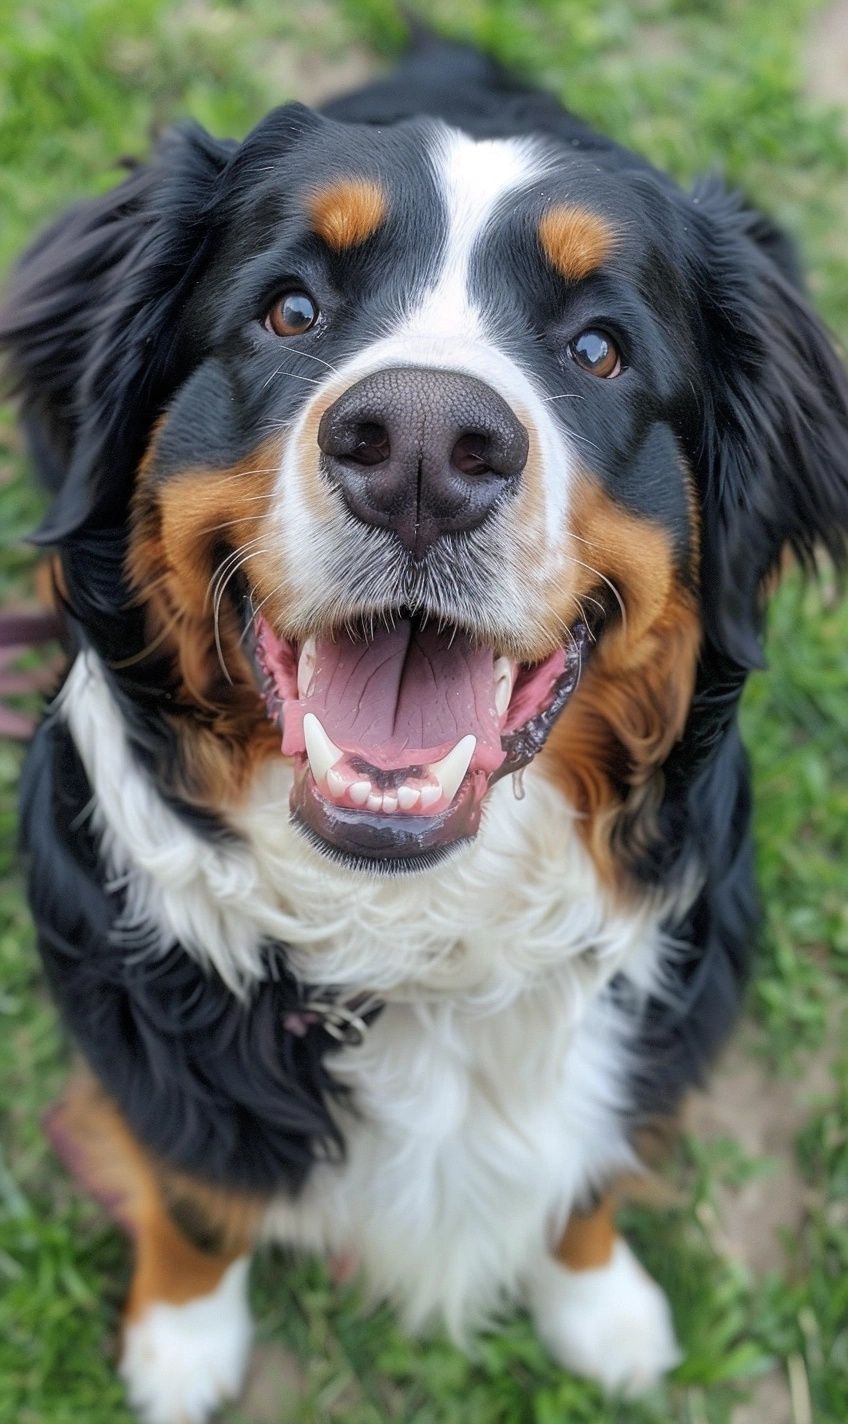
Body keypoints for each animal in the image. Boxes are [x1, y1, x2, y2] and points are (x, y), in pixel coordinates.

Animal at [1, 25, 848, 1424]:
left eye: (599, 349)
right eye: (288, 310)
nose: (418, 445)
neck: (417, 942)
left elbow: (583, 1183)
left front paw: (600, 1305)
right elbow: (195, 1196)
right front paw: (181, 1339)